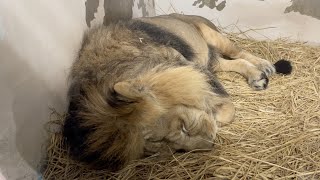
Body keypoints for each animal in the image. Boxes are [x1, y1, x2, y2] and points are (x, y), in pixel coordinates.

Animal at [63, 13, 292, 170]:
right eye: (176, 150)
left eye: (183, 125)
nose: (209, 145)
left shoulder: (192, 68)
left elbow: (226, 110)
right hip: (210, 59)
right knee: (233, 63)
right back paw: (256, 75)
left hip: (212, 36)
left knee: (240, 53)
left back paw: (263, 69)